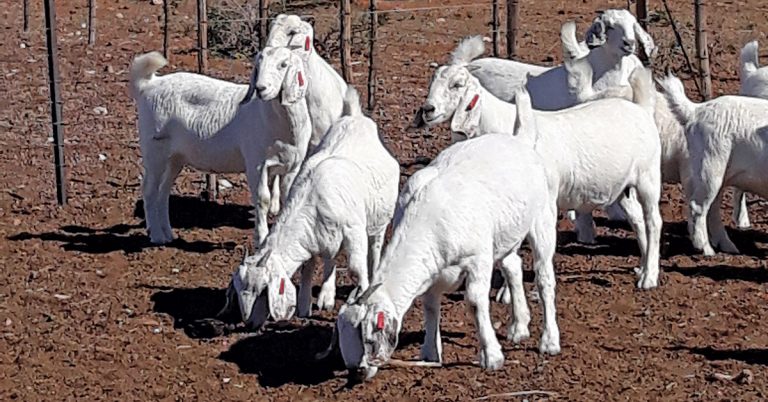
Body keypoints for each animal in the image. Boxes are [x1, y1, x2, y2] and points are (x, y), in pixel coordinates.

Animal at [130, 50, 310, 245]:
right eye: (258, 65)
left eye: (283, 65)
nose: (261, 88)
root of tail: (149, 84)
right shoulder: (256, 163)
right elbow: (263, 200)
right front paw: (261, 239)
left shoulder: (293, 166)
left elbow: (289, 198)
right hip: (154, 149)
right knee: (149, 190)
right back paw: (156, 235)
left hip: (174, 158)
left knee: (163, 191)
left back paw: (167, 234)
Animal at [219, 70, 400, 328]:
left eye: (263, 290)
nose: (249, 324)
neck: (313, 199)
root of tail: (355, 118)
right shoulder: (313, 239)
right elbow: (308, 267)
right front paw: (305, 307)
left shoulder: (354, 232)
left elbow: (356, 269)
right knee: (330, 258)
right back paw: (326, 295)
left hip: (379, 219)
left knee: (374, 248)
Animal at [318, 105, 560, 382]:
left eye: (367, 339)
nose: (357, 372)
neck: (427, 217)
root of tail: (520, 140)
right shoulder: (433, 270)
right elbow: (430, 305)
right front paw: (431, 353)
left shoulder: (477, 259)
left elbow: (475, 301)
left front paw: (492, 356)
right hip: (504, 236)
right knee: (513, 267)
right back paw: (519, 326)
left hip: (542, 218)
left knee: (544, 278)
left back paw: (549, 341)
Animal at [416, 43, 664, 288]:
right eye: (432, 82)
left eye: (457, 84)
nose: (428, 109)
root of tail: (640, 108)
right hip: (622, 186)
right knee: (638, 220)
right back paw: (643, 267)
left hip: (648, 177)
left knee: (653, 221)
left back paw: (649, 277)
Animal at [656, 74, 768, 256]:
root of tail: (696, 111)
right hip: (710, 166)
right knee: (698, 207)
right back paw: (707, 250)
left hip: (717, 174)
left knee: (712, 208)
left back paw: (728, 247)